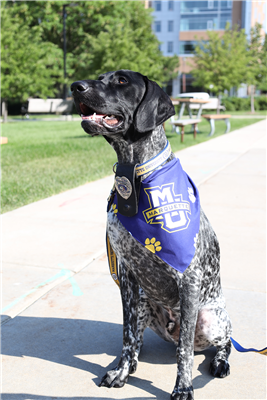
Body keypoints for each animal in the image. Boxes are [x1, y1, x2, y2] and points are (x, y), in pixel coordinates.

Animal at [71, 70, 232, 398]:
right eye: (99, 77)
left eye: (121, 81)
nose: (75, 87)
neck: (135, 174)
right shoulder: (128, 277)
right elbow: (128, 335)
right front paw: (121, 372)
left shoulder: (189, 279)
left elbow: (184, 351)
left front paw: (183, 387)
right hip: (146, 300)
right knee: (140, 341)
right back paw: (130, 363)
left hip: (212, 320)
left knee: (224, 342)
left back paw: (220, 361)